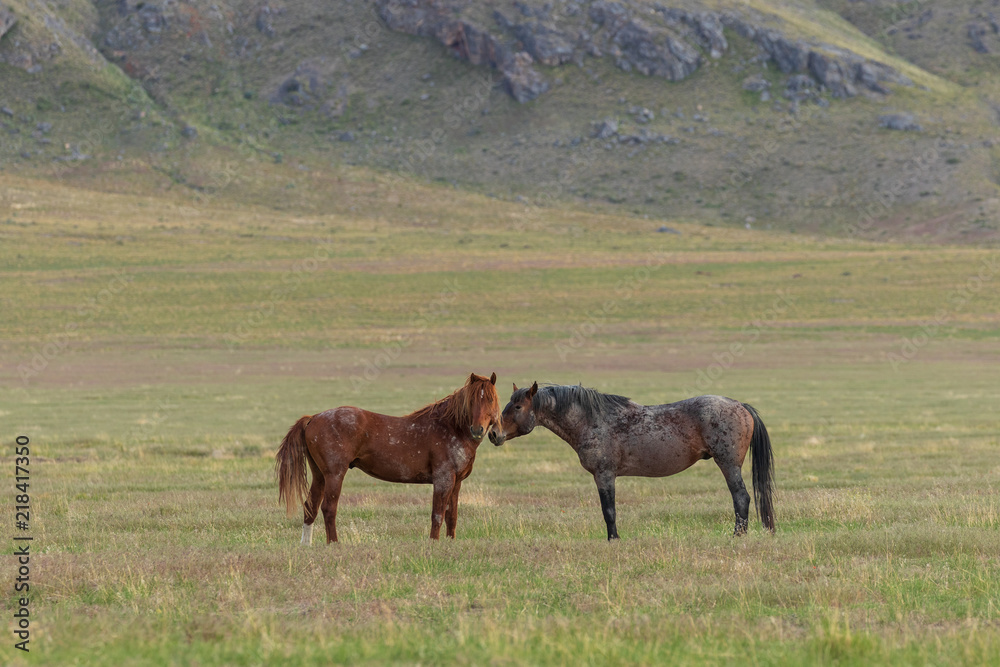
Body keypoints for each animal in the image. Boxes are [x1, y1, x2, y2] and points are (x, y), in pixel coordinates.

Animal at [275, 372, 505, 543]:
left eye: (491, 399)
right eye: (472, 400)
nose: (478, 430)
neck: (449, 428)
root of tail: (313, 418)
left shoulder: (456, 483)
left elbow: (451, 516)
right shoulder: (443, 480)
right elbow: (437, 515)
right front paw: (433, 543)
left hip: (320, 476)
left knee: (310, 507)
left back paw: (306, 545)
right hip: (334, 475)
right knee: (328, 508)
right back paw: (334, 544)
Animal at [501, 382, 775, 540]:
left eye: (517, 406)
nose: (494, 433)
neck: (591, 420)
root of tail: (740, 405)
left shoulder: (604, 474)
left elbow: (609, 510)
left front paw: (613, 539)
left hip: (728, 464)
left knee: (741, 497)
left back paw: (737, 536)